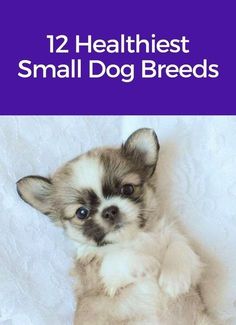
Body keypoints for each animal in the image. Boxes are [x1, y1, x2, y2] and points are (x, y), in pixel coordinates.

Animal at [16, 128, 215, 324]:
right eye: (82, 212)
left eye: (127, 189)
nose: (110, 211)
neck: (132, 239)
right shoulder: (101, 278)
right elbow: (116, 258)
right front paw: (147, 263)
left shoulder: (173, 237)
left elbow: (179, 246)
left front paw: (174, 279)